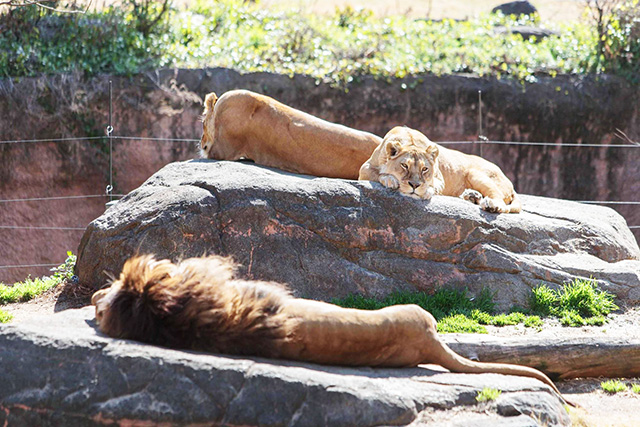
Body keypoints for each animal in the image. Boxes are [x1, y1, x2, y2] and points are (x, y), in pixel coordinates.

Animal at [360, 126, 520, 214]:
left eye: (425, 169)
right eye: (404, 165)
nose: (415, 185)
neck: (410, 140)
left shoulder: (439, 178)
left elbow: (434, 185)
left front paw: (426, 190)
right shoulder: (364, 168)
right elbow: (375, 173)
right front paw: (390, 179)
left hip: (475, 173)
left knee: (502, 203)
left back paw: (492, 205)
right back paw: (472, 196)